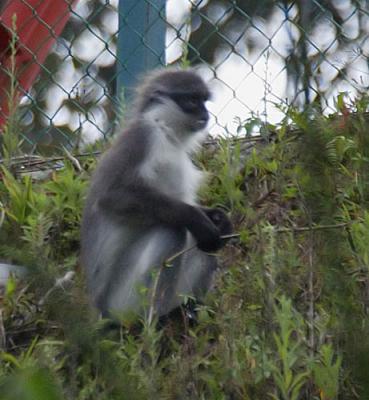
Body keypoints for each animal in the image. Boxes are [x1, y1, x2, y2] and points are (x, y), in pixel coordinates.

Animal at [80, 68, 230, 318]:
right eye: (192, 101)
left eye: (203, 101)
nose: (205, 114)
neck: (165, 131)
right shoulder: (142, 137)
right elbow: (111, 197)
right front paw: (195, 216)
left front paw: (216, 216)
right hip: (122, 300)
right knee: (172, 230)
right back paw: (155, 318)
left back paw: (190, 309)